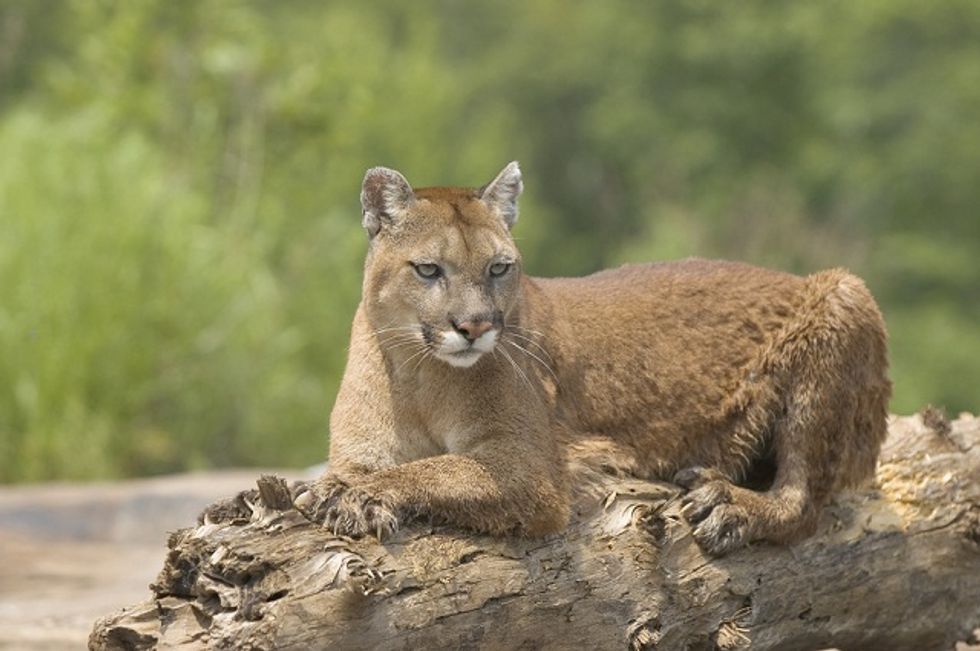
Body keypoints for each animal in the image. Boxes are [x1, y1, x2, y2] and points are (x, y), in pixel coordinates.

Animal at [284, 162, 888, 556]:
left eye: (499, 268)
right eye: (429, 269)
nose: (475, 326)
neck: (417, 373)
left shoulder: (528, 468)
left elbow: (436, 467)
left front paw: (353, 495)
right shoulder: (361, 447)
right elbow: (377, 465)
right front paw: (347, 491)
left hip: (846, 292)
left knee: (805, 501)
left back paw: (730, 505)